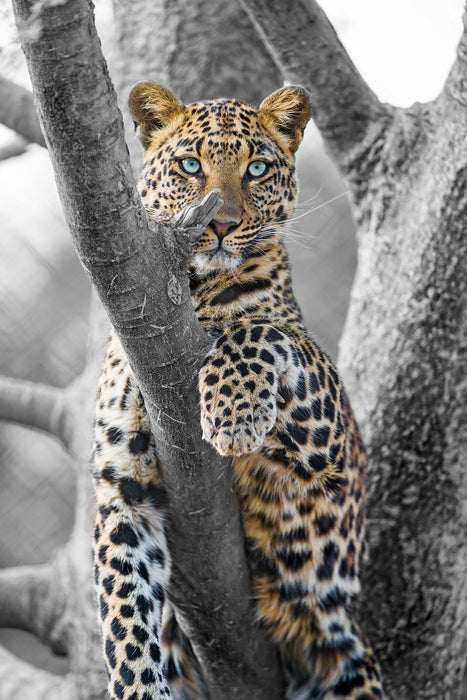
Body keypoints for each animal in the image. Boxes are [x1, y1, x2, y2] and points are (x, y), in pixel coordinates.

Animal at [92, 78, 388, 700]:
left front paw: (234, 416)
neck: (190, 294)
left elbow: (260, 329)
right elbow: (124, 618)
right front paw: (139, 686)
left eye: (256, 169)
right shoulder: (121, 491)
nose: (223, 225)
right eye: (189, 165)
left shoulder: (332, 452)